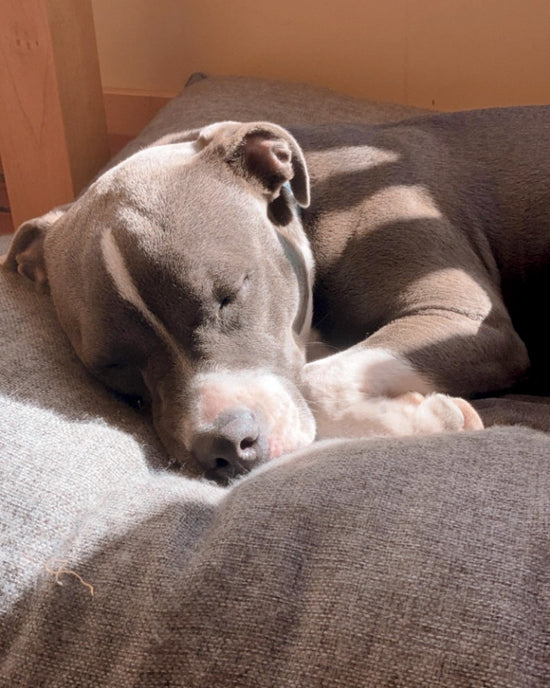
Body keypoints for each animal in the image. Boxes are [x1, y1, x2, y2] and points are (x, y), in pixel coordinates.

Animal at [5, 106, 550, 478]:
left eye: (229, 294)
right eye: (112, 364)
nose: (223, 448)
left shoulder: (461, 317)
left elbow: (312, 381)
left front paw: (434, 414)